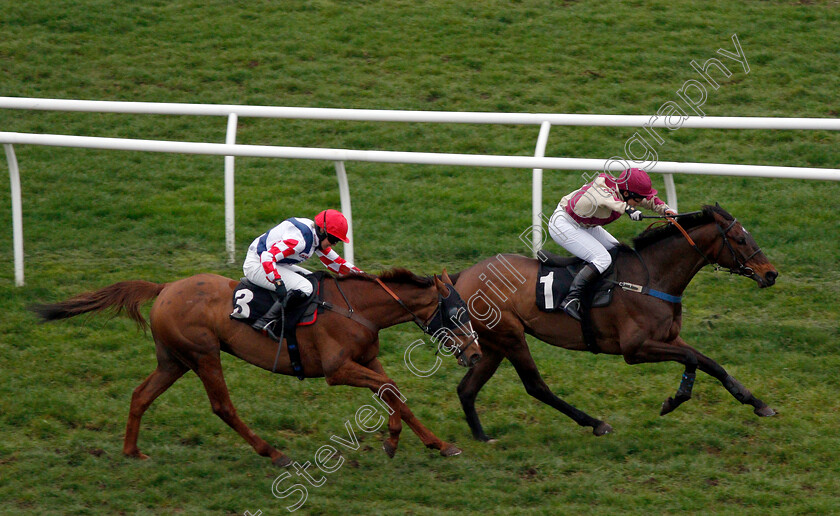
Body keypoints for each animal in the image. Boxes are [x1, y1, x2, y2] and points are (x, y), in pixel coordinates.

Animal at [31, 268, 480, 466]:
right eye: (457, 312)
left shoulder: (366, 358)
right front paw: (413, 441)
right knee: (222, 407)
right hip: (203, 355)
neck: (355, 308)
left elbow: (391, 391)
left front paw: (421, 441)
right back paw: (273, 452)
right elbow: (392, 389)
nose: (475, 354)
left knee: (141, 394)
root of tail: (165, 287)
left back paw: (131, 450)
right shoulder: (337, 370)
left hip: (174, 360)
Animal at [452, 204, 780, 442]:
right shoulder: (635, 349)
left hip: (493, 344)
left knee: (467, 389)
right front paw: (675, 399)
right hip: (510, 337)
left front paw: (756, 402)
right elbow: (690, 359)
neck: (651, 278)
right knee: (536, 386)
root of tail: (462, 275)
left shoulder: (669, 338)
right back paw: (596, 423)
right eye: (740, 239)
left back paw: (482, 437)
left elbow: (710, 363)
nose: (771, 273)